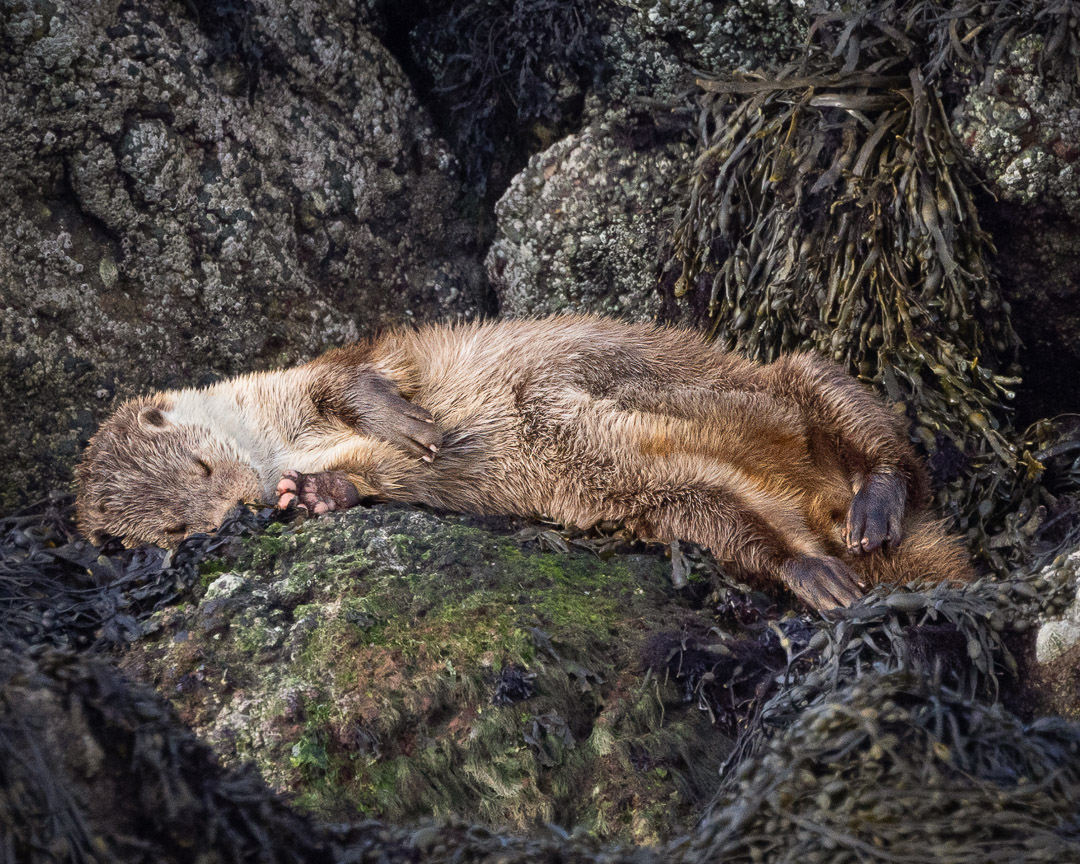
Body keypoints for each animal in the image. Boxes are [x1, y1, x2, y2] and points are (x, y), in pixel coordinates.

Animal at [76, 316, 972, 610]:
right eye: (175, 530)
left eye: (198, 468)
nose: (236, 511)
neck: (277, 437)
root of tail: (823, 503)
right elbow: (368, 481)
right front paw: (309, 495)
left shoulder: (317, 375)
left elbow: (360, 379)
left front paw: (409, 422)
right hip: (674, 498)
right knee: (746, 527)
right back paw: (820, 574)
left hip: (792, 380)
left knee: (890, 448)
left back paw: (876, 507)